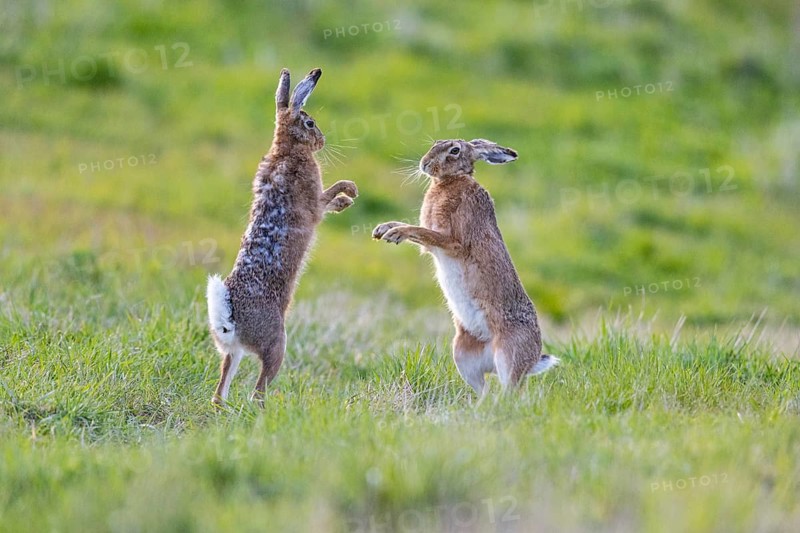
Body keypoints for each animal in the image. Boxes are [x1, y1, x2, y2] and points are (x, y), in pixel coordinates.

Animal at [207, 68, 358, 405]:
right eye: (309, 123)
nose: (321, 141)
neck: (286, 148)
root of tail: (230, 317)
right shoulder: (314, 202)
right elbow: (328, 197)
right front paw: (349, 195)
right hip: (277, 342)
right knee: (259, 389)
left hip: (234, 353)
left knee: (222, 384)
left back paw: (223, 406)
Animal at [372, 139, 558, 396]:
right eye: (435, 144)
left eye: (454, 150)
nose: (424, 164)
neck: (451, 181)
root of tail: (533, 360)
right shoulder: (433, 244)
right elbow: (421, 234)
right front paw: (384, 228)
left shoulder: (454, 241)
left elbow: (423, 232)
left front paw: (396, 232)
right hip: (462, 354)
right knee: (484, 390)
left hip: (508, 354)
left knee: (510, 391)